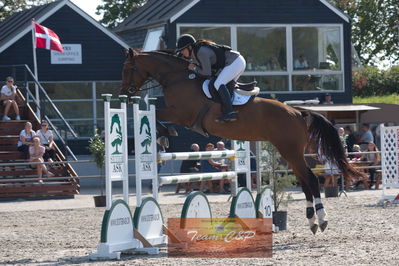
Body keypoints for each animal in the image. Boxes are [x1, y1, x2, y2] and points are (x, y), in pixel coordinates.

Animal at [120, 47, 360, 233]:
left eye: (128, 68)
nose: (126, 93)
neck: (177, 78)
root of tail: (298, 112)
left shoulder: (181, 114)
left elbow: (159, 117)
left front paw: (165, 136)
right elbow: (158, 117)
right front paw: (164, 137)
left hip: (290, 151)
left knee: (310, 179)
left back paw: (322, 220)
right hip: (290, 153)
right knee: (304, 180)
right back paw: (312, 221)